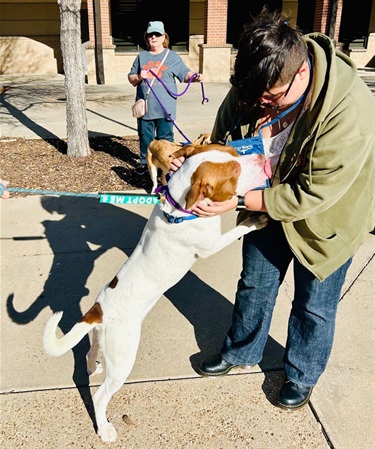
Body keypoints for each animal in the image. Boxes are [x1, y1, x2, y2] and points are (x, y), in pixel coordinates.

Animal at [44, 144, 272, 440]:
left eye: (233, 150)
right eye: (234, 171)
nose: (263, 157)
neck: (179, 207)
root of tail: (98, 311)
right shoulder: (210, 245)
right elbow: (236, 231)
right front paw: (255, 219)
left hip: (100, 337)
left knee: (88, 352)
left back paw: (92, 367)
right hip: (123, 357)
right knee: (100, 396)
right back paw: (104, 428)